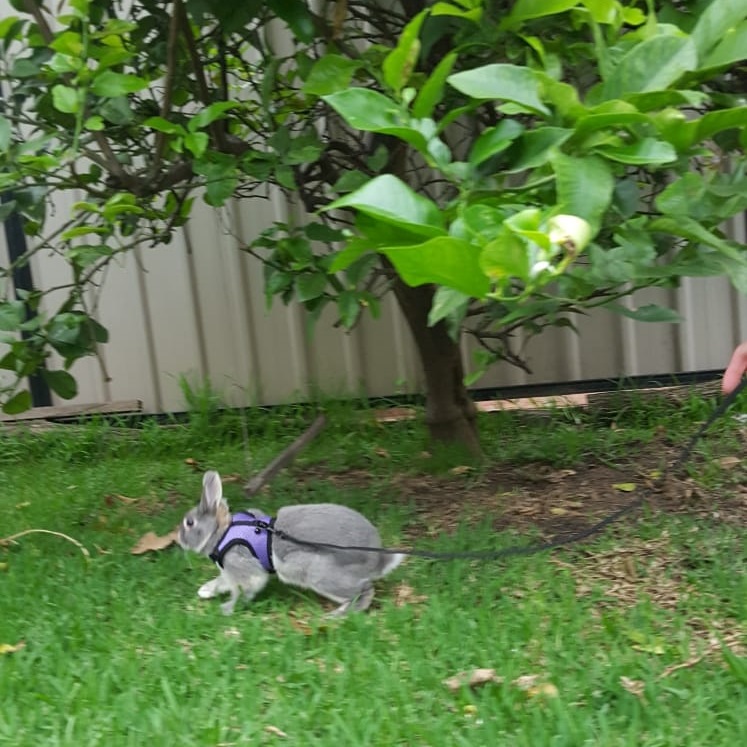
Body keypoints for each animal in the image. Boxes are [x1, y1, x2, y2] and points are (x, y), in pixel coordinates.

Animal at [178, 470, 404, 616]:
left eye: (189, 523)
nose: (179, 539)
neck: (222, 533)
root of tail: (377, 561)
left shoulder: (242, 567)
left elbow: (244, 589)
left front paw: (227, 609)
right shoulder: (228, 573)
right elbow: (222, 582)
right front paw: (205, 591)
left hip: (321, 575)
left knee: (365, 591)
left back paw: (337, 615)